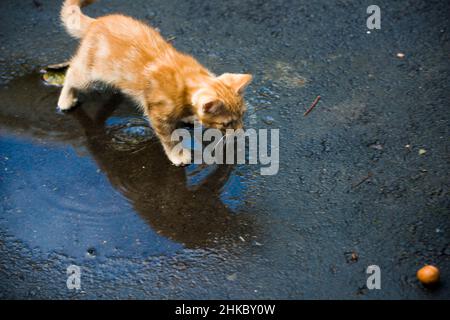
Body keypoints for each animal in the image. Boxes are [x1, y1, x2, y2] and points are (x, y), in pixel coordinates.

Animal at [58, 0, 251, 165]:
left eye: (242, 115)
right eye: (227, 124)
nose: (240, 132)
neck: (186, 84)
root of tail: (96, 22)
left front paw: (189, 116)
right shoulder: (158, 116)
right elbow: (170, 139)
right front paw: (177, 155)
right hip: (87, 75)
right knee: (71, 72)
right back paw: (65, 100)